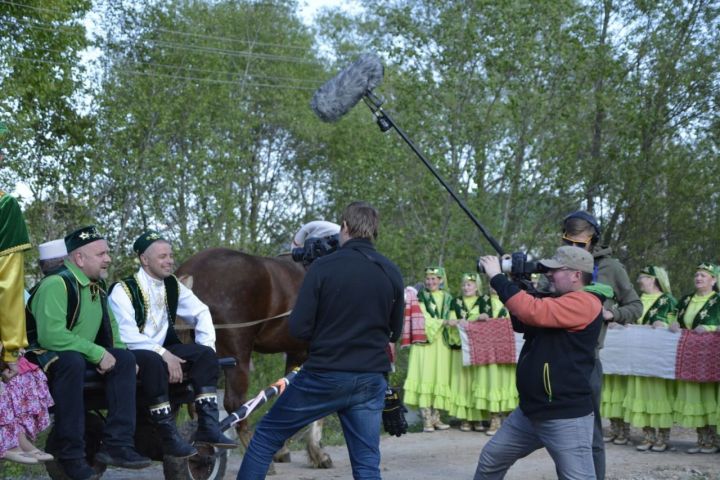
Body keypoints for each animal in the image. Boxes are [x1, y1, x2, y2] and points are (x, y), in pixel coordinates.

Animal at [174, 249, 332, 466]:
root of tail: (193, 271)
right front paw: (318, 452)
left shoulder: (296, 352)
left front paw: (282, 450)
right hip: (237, 356)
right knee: (235, 404)